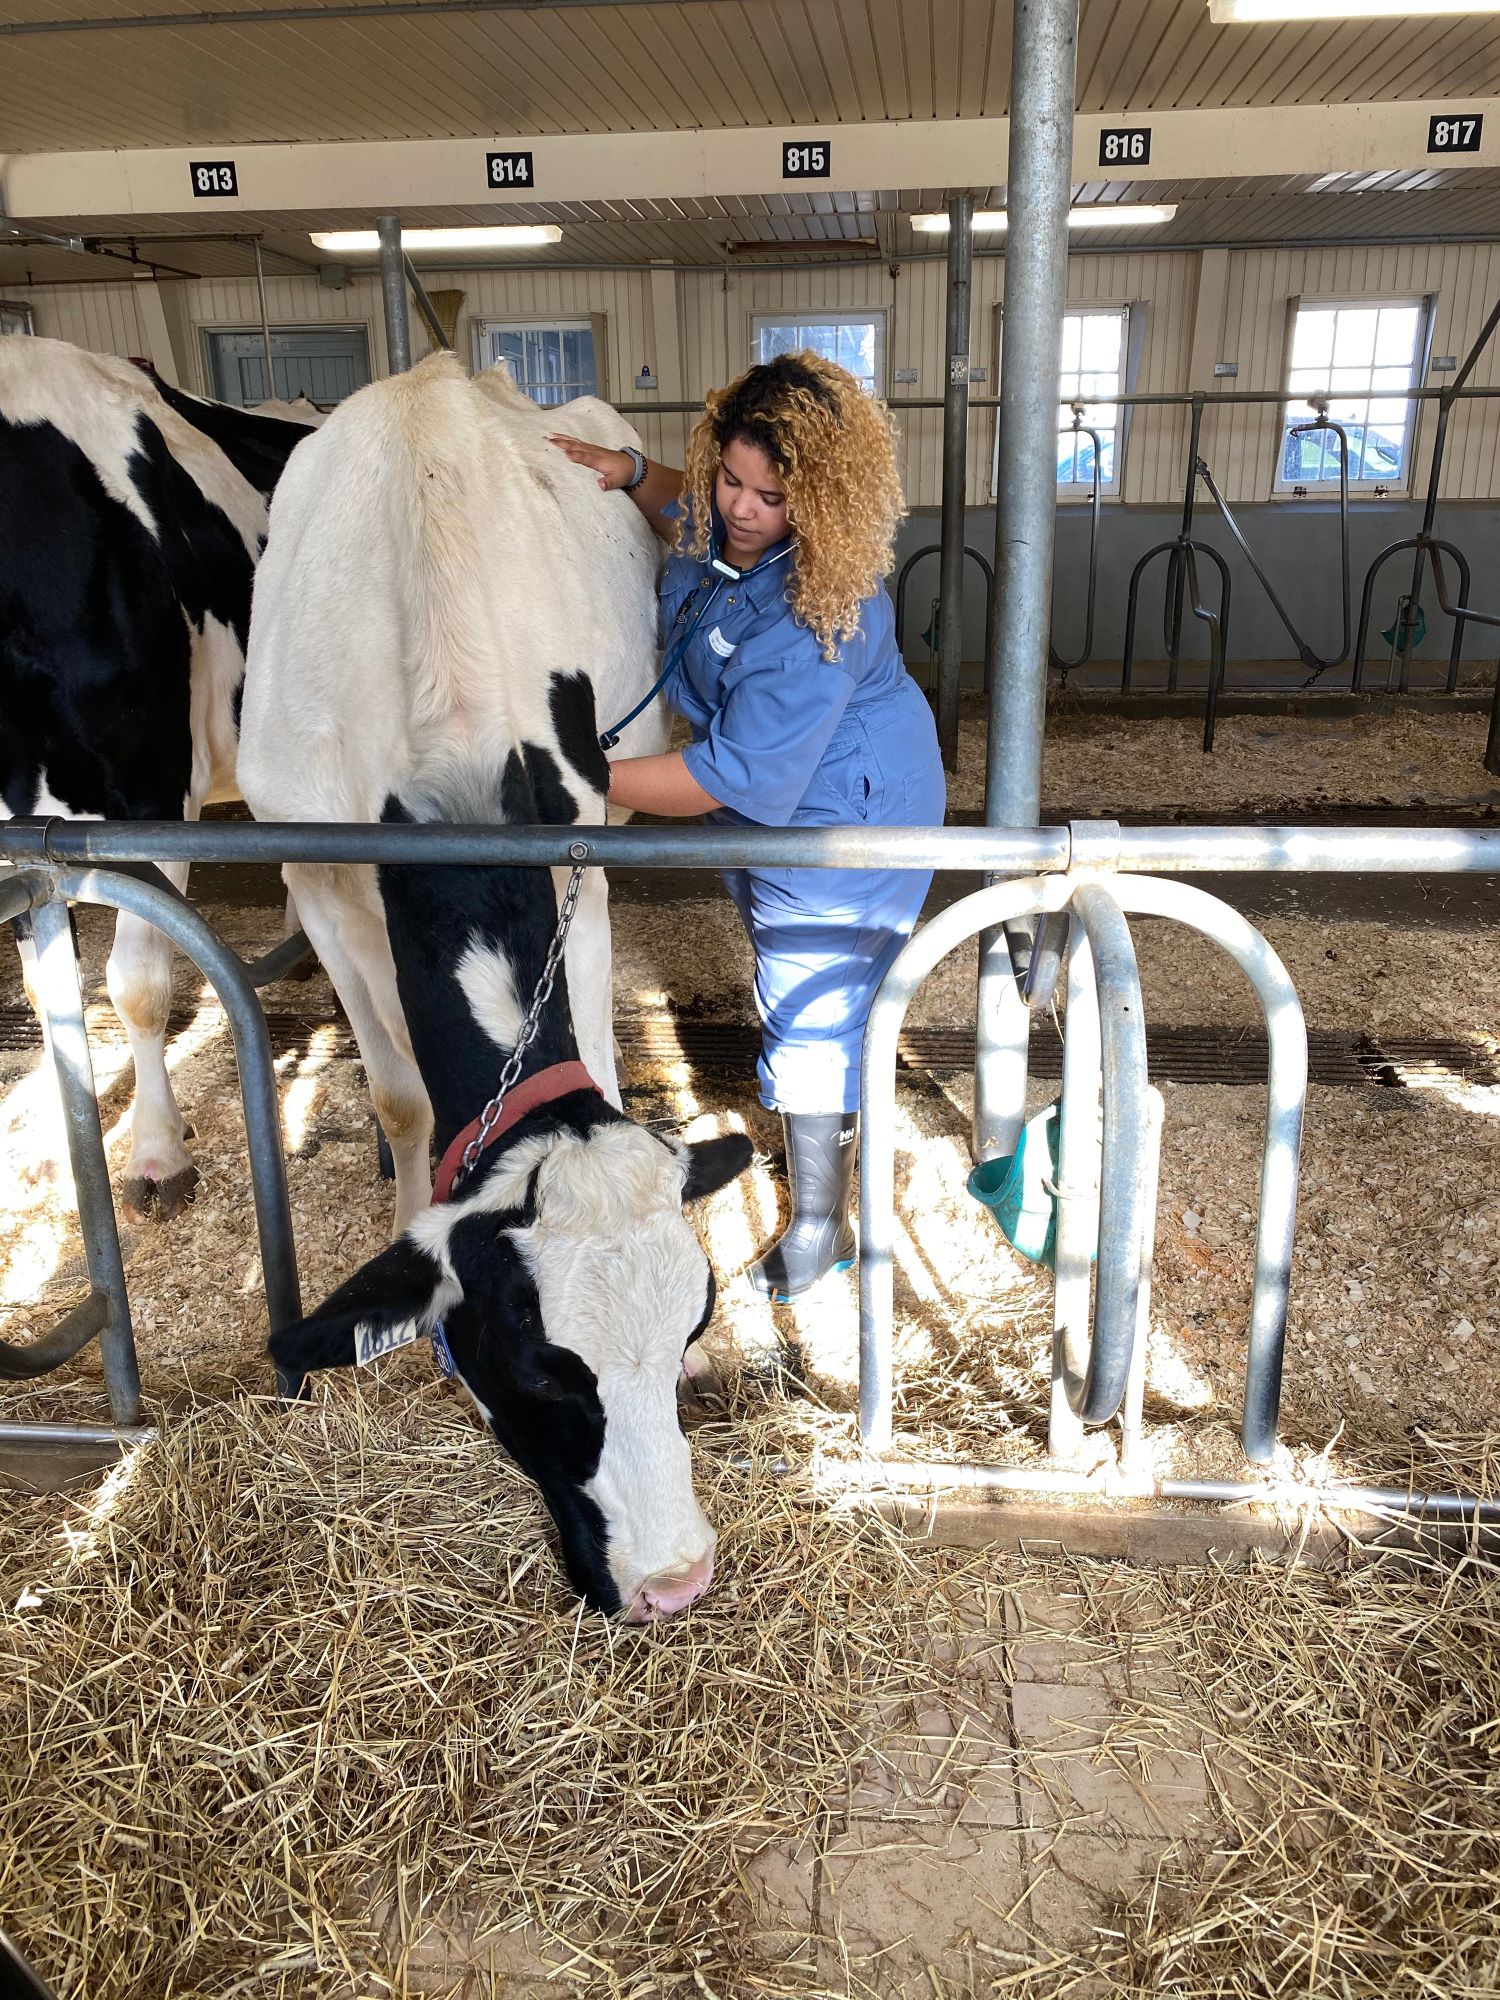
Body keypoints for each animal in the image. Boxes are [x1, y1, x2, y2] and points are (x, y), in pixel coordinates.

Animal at [244, 352, 752, 1616]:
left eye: (691, 1322)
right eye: (542, 1370)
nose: (677, 1581)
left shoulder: (583, 860)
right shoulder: (316, 876)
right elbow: (401, 1099)